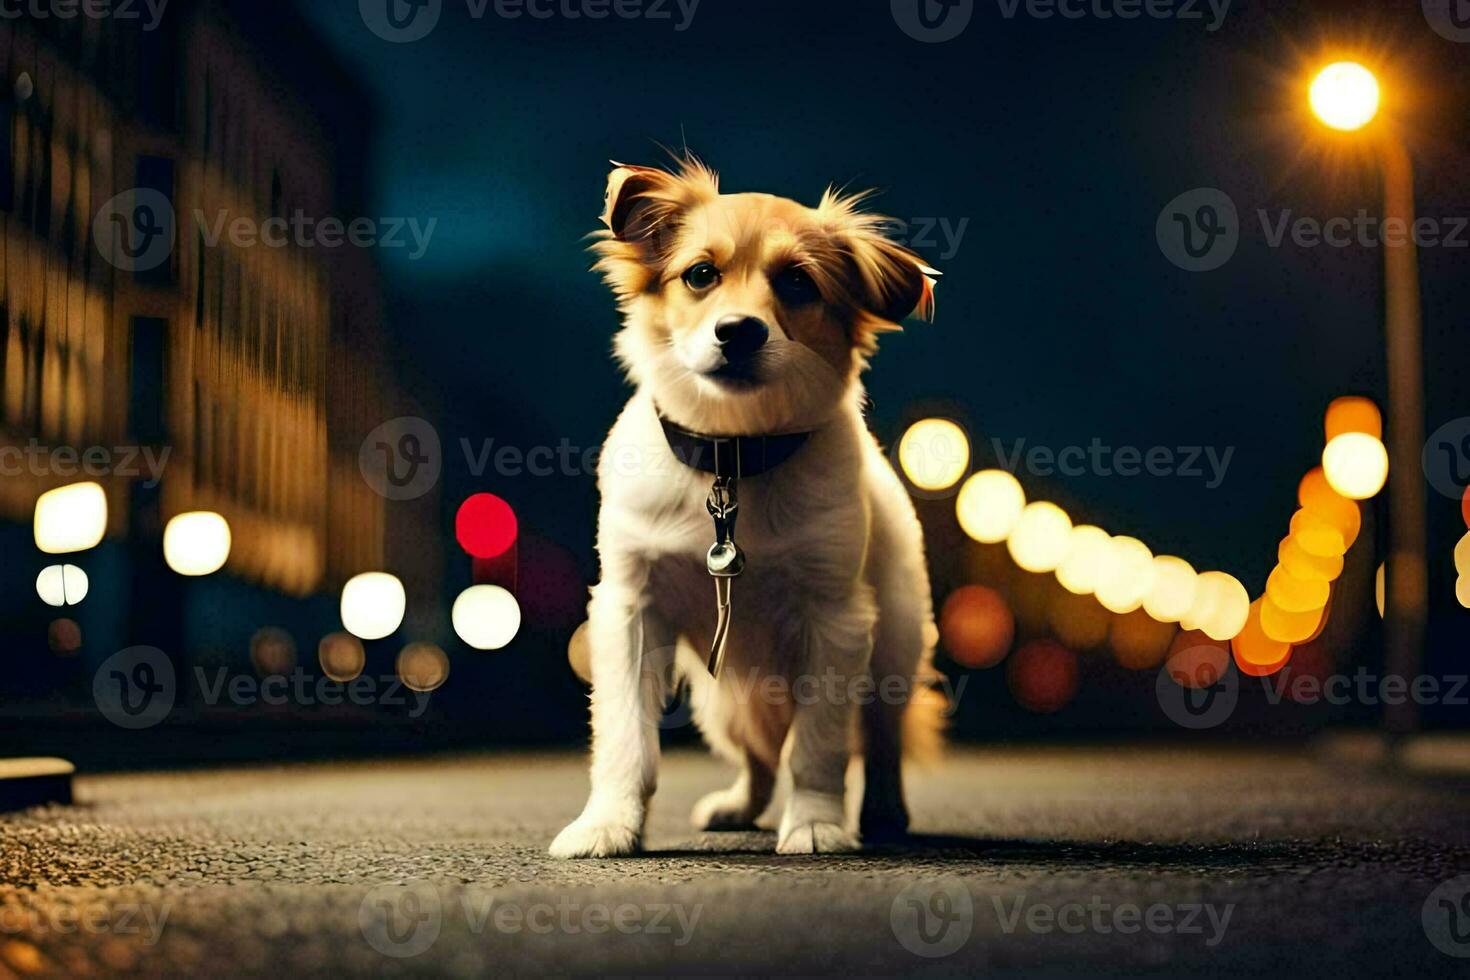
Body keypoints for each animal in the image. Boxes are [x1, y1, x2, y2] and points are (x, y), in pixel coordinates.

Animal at [549, 159, 940, 858]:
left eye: (798, 283)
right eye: (701, 274)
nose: (739, 331)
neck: (732, 454)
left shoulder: (836, 621)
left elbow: (818, 746)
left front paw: (815, 822)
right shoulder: (629, 608)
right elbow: (625, 739)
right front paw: (608, 824)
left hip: (893, 647)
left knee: (879, 738)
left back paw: (884, 811)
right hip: (722, 701)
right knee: (757, 758)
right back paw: (740, 805)